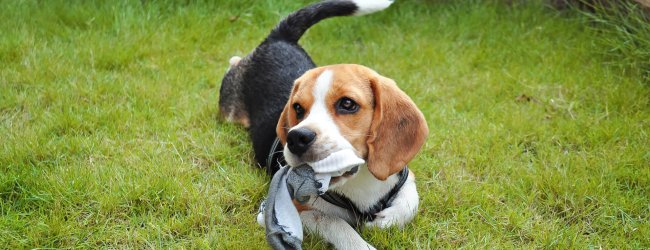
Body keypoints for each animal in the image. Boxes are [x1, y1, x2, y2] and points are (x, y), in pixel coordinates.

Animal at [220, 0, 428, 249]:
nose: (296, 138)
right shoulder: (283, 210)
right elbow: (333, 221)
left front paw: (387, 219)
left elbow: (411, 200)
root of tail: (279, 38)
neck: (359, 182)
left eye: (347, 104)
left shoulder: (402, 175)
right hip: (229, 112)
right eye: (298, 108)